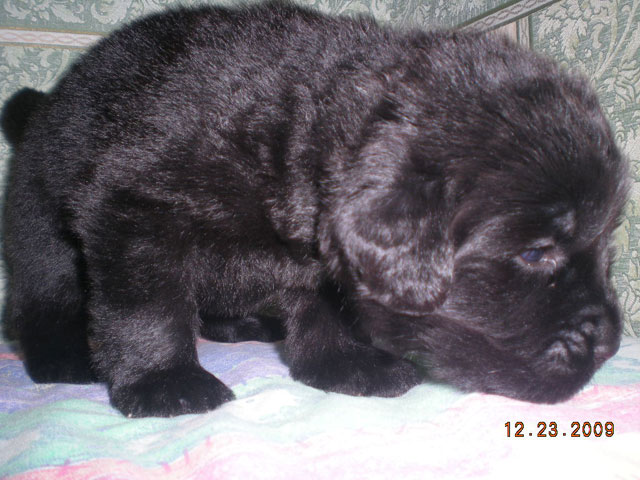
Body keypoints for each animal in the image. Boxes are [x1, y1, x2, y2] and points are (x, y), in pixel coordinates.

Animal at [1, 1, 628, 417]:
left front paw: (347, 365)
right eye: (536, 253)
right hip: (42, 236)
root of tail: (39, 106)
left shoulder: (319, 260)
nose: (609, 347)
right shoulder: (134, 208)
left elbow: (324, 309)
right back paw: (64, 359)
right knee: (41, 303)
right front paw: (165, 383)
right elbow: (147, 308)